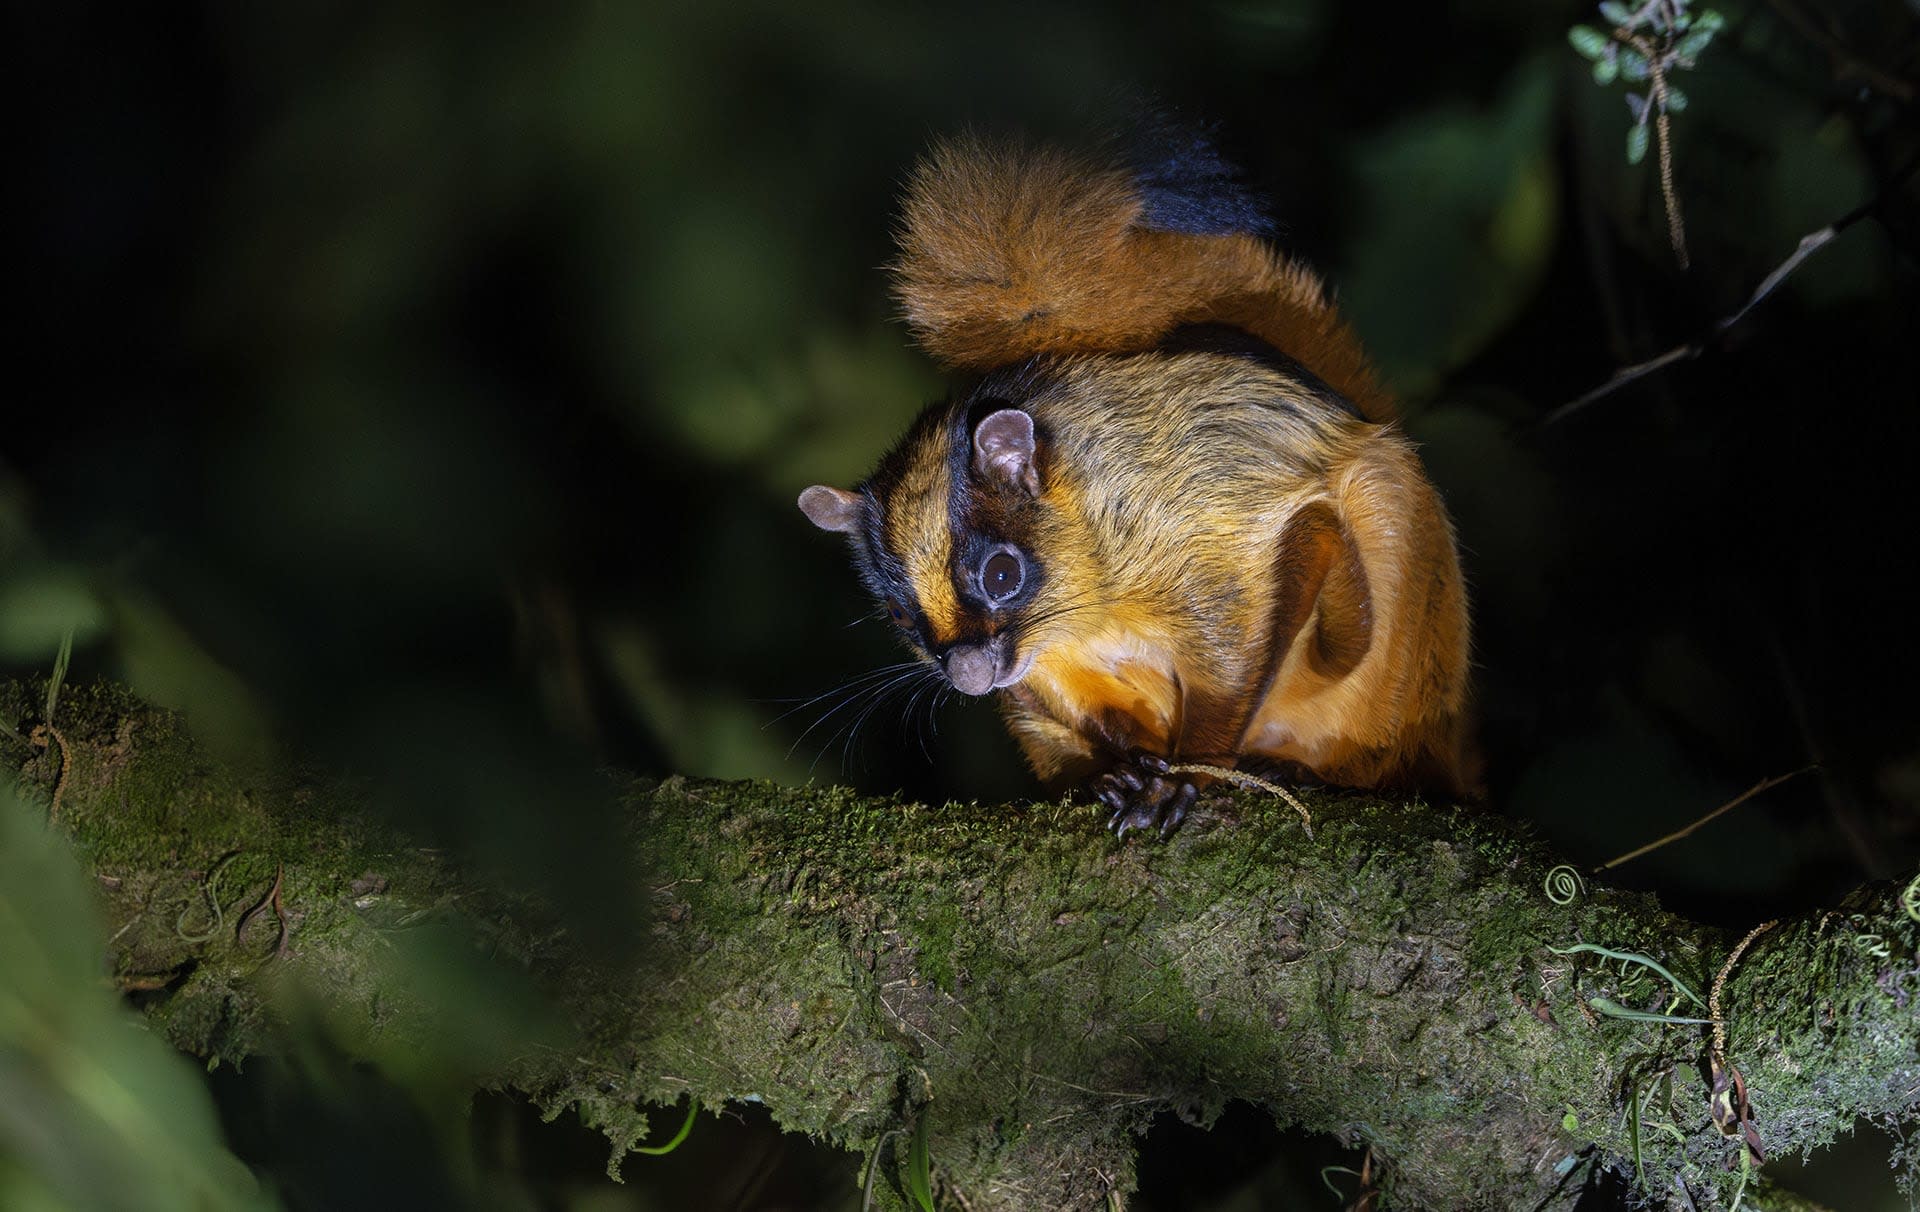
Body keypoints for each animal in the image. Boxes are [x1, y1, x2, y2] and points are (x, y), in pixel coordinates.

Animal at [799, 129, 1474, 838]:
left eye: (1002, 574)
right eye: (900, 614)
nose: (968, 676)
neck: (1089, 603)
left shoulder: (1209, 526)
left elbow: (1249, 646)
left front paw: (1186, 776)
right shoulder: (1044, 674)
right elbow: (1092, 711)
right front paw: (1124, 769)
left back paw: (1301, 770)